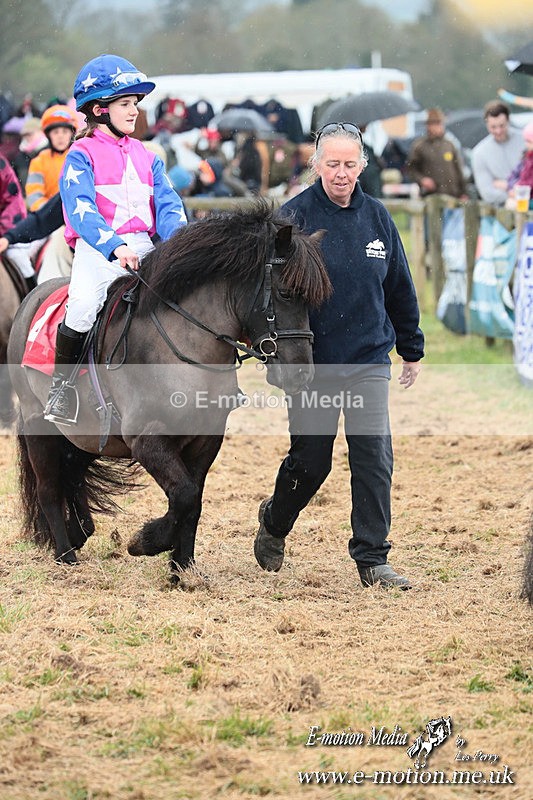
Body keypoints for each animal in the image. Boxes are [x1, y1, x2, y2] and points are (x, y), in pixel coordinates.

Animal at [8, 202, 331, 580]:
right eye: (285, 293)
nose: (301, 372)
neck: (182, 345)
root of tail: (31, 298)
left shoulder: (205, 441)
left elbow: (193, 501)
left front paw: (183, 568)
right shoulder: (148, 441)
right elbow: (185, 494)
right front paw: (145, 542)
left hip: (82, 434)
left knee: (72, 476)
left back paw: (80, 533)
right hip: (38, 426)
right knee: (49, 488)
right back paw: (65, 554)